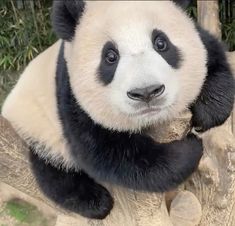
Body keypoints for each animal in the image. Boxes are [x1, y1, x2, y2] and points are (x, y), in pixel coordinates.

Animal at [1, 0, 233, 219]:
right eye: (110, 56)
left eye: (161, 43)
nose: (147, 92)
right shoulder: (69, 94)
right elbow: (107, 154)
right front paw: (188, 149)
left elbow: (212, 53)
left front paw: (208, 112)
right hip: (36, 128)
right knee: (51, 170)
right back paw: (94, 201)